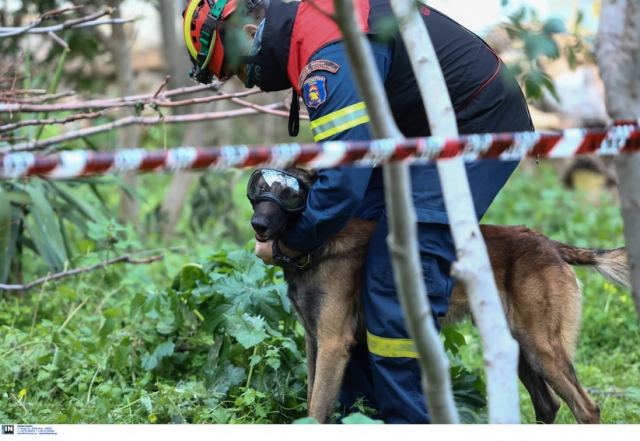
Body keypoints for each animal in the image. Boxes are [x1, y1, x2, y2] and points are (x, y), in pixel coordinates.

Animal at [248, 166, 628, 422]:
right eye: (259, 190)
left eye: (290, 194)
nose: (258, 226)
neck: (319, 243)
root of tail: (549, 244)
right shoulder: (315, 341)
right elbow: (311, 397)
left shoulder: (332, 343)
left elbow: (316, 409)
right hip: (517, 345)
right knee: (548, 405)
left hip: (541, 347)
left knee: (587, 408)